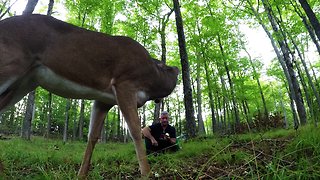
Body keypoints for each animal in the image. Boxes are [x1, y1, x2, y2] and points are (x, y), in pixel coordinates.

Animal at [0, 14, 180, 177]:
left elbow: (93, 136)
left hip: (24, 83)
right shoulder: (125, 83)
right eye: (168, 68)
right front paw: (147, 173)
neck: (150, 79)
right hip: (11, 64)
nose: (177, 68)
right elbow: (135, 131)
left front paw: (81, 174)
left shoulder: (104, 100)